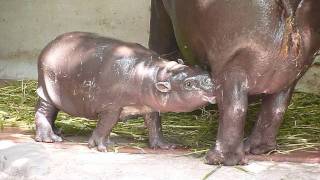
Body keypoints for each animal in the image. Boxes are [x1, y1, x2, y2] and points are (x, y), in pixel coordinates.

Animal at [35, 31, 215, 151]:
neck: (156, 74)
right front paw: (102, 147)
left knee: (51, 112)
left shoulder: (150, 106)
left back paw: (58, 131)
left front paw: (165, 146)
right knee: (43, 110)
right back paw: (50, 138)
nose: (210, 80)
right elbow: (106, 125)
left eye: (201, 68)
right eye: (188, 84)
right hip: (47, 89)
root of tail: (49, 45)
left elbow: (155, 125)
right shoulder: (111, 107)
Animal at [150, 0, 320, 165]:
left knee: (234, 108)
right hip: (293, 71)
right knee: (276, 109)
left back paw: (217, 158)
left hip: (232, 67)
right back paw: (256, 148)